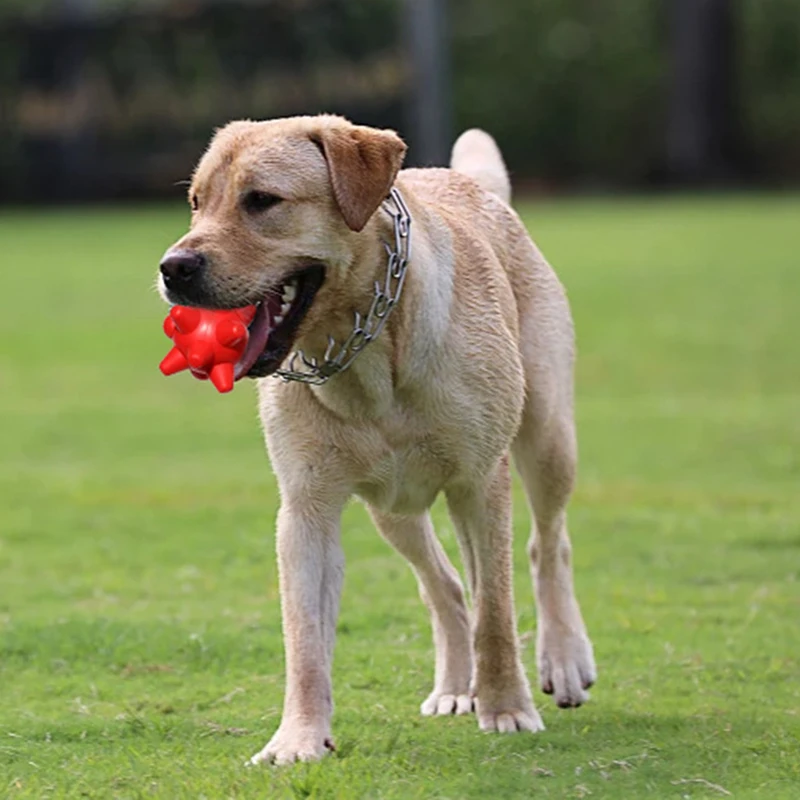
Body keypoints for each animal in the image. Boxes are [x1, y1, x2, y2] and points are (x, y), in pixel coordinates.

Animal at [156, 115, 592, 764]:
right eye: (196, 202)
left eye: (261, 201)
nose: (173, 267)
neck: (366, 354)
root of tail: (471, 184)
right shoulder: (306, 510)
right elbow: (304, 640)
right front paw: (298, 738)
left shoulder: (479, 483)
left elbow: (496, 609)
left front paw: (508, 708)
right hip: (393, 508)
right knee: (446, 585)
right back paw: (455, 686)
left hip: (547, 435)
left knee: (546, 545)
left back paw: (563, 660)